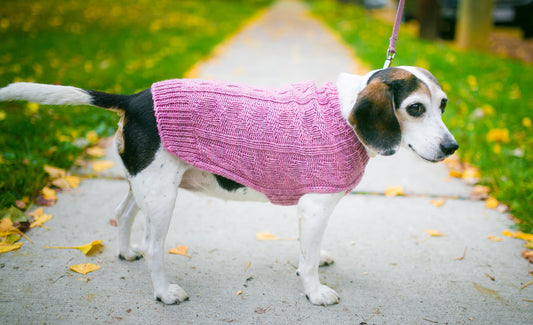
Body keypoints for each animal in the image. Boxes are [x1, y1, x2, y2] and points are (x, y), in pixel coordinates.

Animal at [0, 66, 458, 306]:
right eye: (415, 108)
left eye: (443, 105)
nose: (452, 147)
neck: (345, 116)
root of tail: (134, 98)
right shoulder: (315, 207)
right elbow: (308, 259)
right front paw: (314, 291)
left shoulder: (309, 210)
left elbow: (308, 250)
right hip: (162, 197)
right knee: (154, 246)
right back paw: (163, 291)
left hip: (143, 185)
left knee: (122, 215)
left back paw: (126, 251)